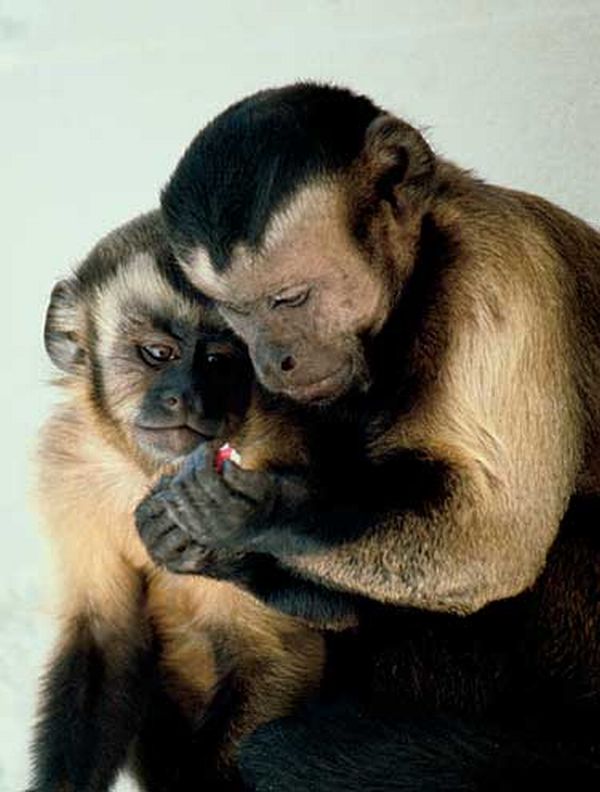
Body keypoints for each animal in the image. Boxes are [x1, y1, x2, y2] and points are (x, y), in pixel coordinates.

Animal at [30, 209, 325, 792]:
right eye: (158, 354)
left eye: (219, 360)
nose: (186, 396)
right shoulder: (69, 467)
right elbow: (106, 637)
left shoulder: (270, 465)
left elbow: (276, 656)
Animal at [133, 83, 600, 787]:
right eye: (238, 312)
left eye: (290, 299)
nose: (275, 359)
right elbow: (345, 610)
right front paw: (202, 547)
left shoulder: (498, 274)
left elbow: (497, 540)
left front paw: (250, 513)